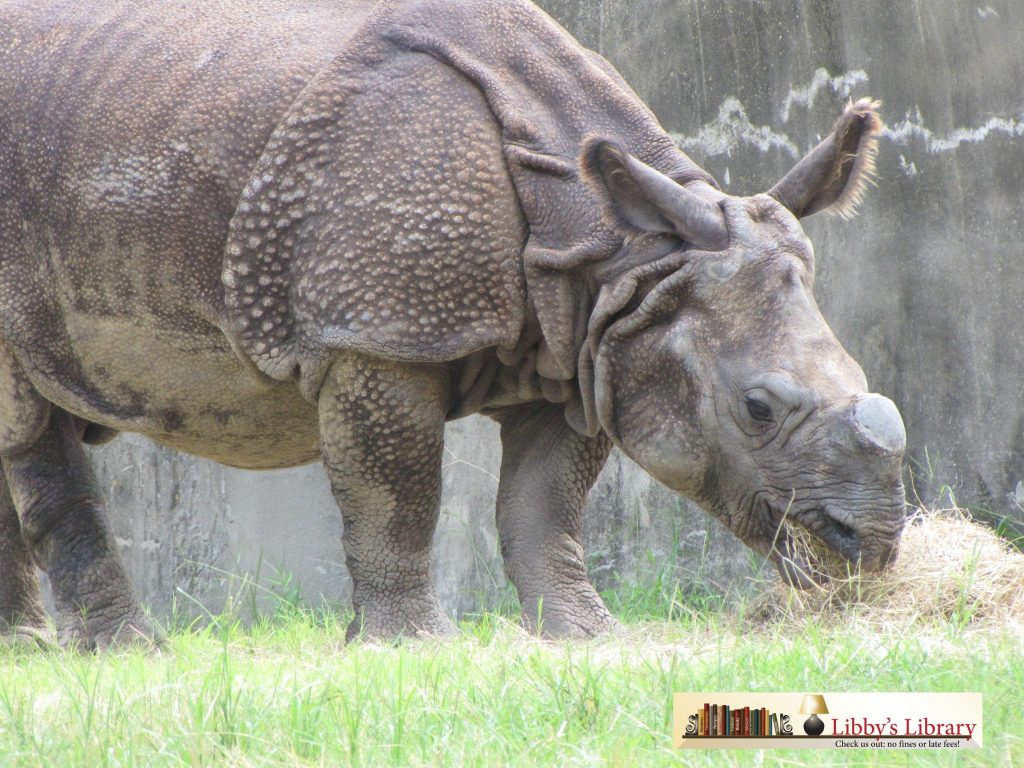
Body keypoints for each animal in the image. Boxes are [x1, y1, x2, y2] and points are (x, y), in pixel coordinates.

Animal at [0, 0, 907, 647]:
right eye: (758, 408)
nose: (870, 549)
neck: (623, 251)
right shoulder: (375, 335)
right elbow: (397, 493)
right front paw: (408, 648)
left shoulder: (587, 341)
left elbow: (544, 504)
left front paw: (585, 640)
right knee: (29, 420)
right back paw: (121, 652)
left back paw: (30, 652)